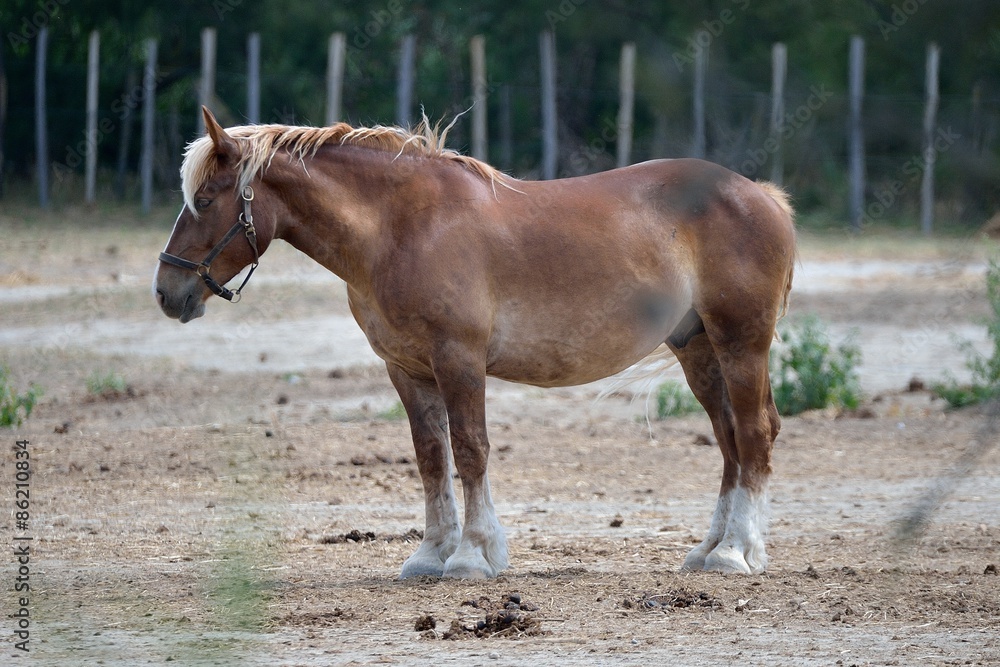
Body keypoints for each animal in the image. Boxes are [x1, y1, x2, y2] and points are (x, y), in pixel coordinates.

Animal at [154, 106, 796, 579]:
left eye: (204, 202)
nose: (166, 291)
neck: (401, 229)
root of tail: (762, 194)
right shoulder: (407, 369)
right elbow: (431, 457)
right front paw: (429, 554)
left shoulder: (458, 360)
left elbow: (470, 450)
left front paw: (470, 556)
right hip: (698, 350)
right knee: (730, 440)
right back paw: (709, 549)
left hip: (739, 345)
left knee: (754, 433)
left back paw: (737, 552)